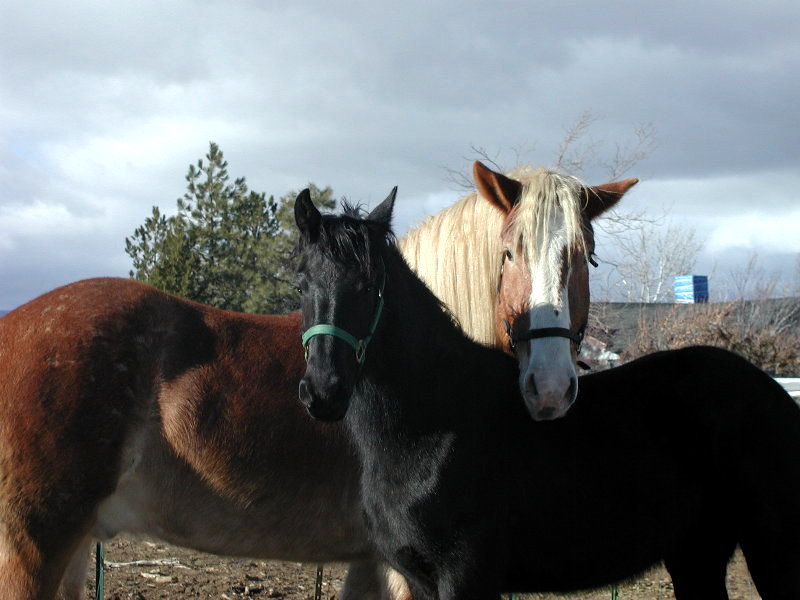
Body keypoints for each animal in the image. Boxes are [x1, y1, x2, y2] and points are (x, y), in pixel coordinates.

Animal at [292, 189, 800, 600]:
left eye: (371, 286)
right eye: (301, 284)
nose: (324, 392)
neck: (432, 425)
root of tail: (775, 393)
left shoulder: (466, 576)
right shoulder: (419, 579)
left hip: (771, 551)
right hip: (697, 555)